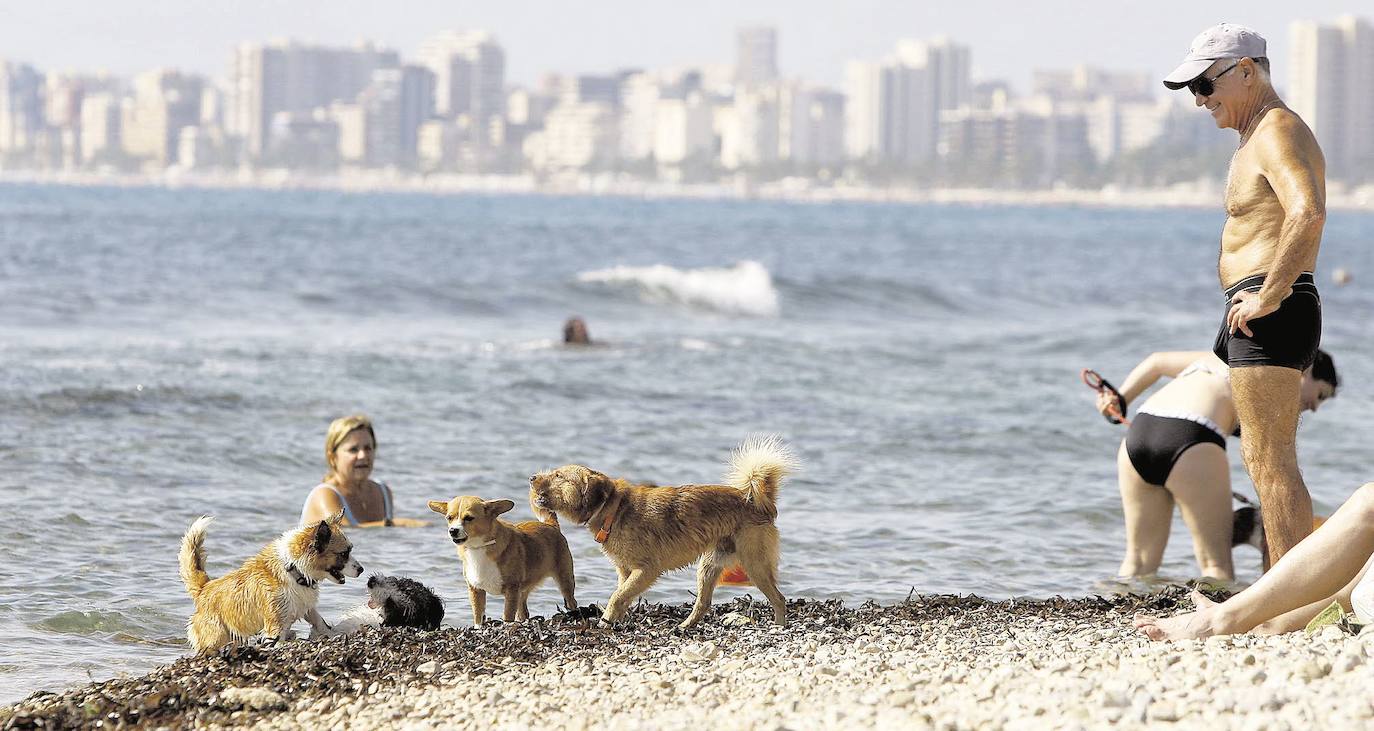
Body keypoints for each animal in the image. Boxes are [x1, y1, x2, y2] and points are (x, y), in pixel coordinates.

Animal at [177, 511, 365, 654]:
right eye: (344, 554)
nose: (362, 570)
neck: (294, 569)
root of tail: (204, 588)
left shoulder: (305, 606)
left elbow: (319, 621)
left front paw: (333, 635)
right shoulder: (275, 626)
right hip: (218, 637)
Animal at [428, 497, 579, 629]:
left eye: (469, 518)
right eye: (449, 518)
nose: (453, 531)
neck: (478, 547)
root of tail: (550, 525)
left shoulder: (511, 590)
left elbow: (507, 615)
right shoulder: (476, 590)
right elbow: (478, 615)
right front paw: (478, 629)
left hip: (564, 581)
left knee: (571, 601)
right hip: (521, 592)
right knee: (523, 612)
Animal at [530, 434, 802, 629]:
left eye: (558, 475)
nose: (532, 477)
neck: (612, 510)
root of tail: (758, 503)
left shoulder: (646, 570)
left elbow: (617, 596)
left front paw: (605, 622)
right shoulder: (626, 572)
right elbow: (622, 595)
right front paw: (614, 621)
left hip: (754, 564)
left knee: (778, 598)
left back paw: (779, 627)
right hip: (709, 565)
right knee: (703, 602)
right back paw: (684, 626)